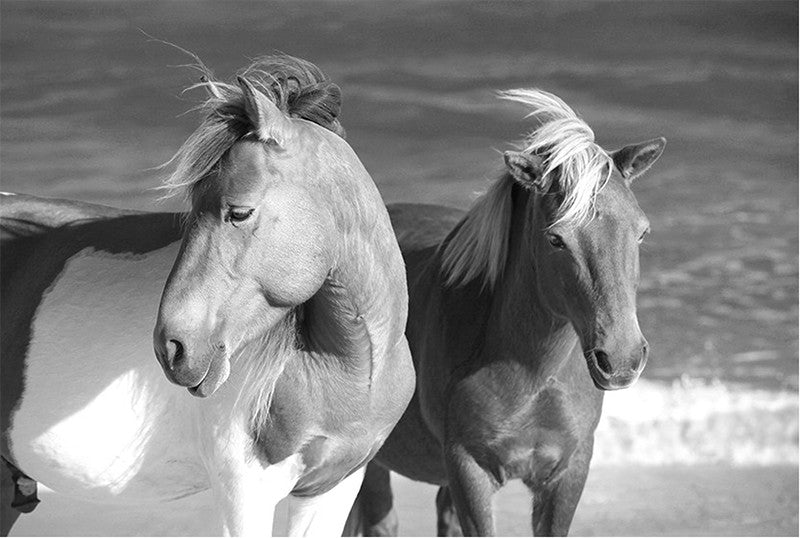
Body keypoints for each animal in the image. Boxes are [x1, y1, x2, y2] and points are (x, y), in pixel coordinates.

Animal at [345, 89, 665, 537]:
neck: (534, 374)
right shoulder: (469, 471)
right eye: (556, 239)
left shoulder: (567, 473)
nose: (621, 359)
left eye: (641, 232)